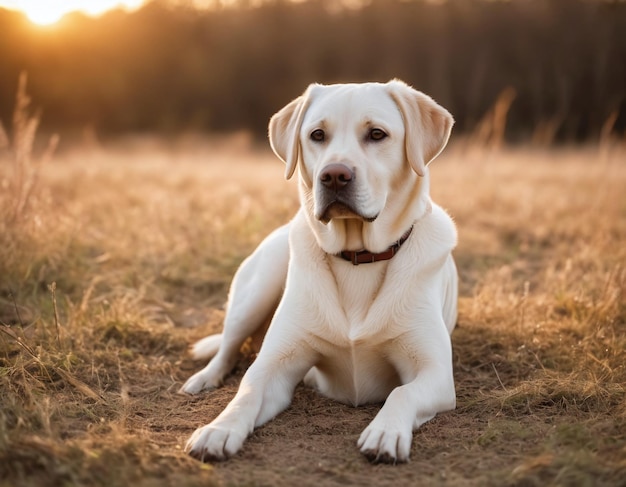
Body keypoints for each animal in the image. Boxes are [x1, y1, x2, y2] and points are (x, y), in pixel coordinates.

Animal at [178, 79, 456, 466]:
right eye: (317, 135)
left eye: (377, 134)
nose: (334, 175)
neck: (357, 256)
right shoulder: (274, 366)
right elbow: (247, 390)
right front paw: (220, 429)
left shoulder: (435, 373)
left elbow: (402, 393)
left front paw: (385, 432)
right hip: (260, 285)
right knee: (228, 349)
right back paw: (204, 379)